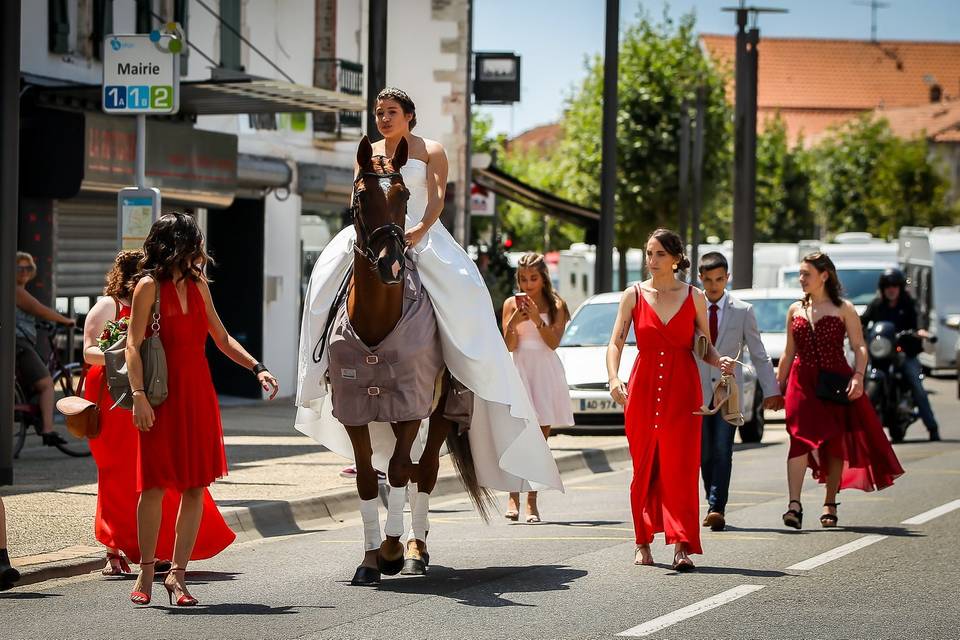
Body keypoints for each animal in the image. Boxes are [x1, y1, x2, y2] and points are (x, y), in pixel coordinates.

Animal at [342, 136, 492, 584]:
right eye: (360, 195)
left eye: (405, 194)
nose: (391, 263)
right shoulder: (354, 409)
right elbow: (368, 481)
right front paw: (370, 560)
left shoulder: (412, 406)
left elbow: (396, 471)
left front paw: (392, 551)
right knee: (406, 471)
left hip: (440, 411)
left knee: (420, 471)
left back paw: (414, 551)